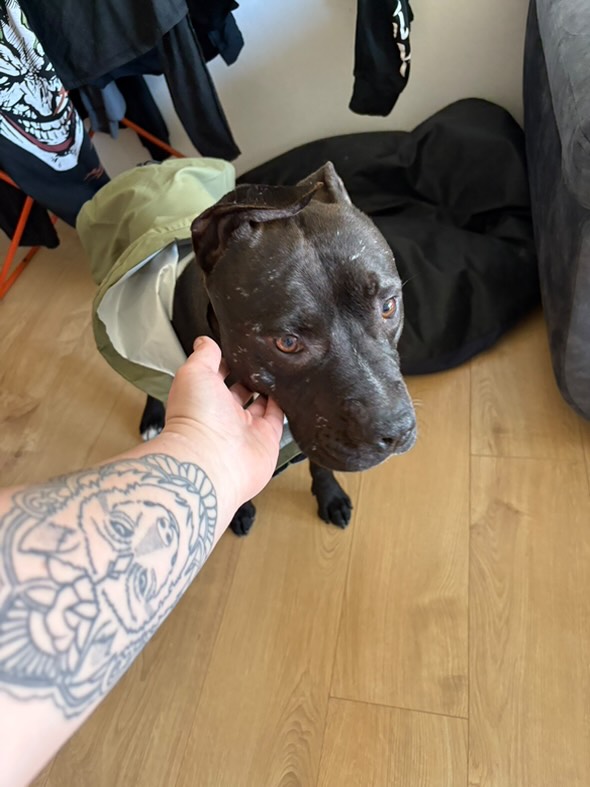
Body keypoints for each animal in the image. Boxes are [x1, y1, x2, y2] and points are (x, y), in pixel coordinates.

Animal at [140, 162, 416, 535]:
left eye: (388, 306)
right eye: (287, 343)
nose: (398, 431)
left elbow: (320, 463)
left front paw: (329, 496)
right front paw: (237, 510)